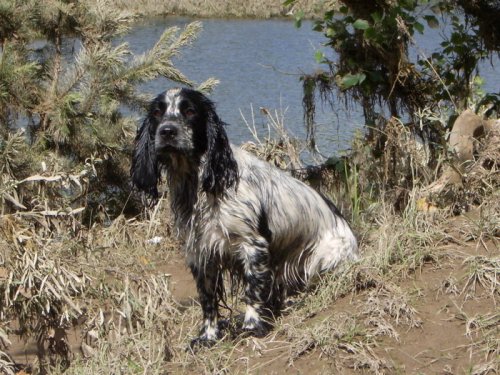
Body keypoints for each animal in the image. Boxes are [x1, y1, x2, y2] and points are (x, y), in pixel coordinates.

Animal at [131, 88, 358, 346]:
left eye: (189, 111)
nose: (167, 131)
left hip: (321, 260)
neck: (200, 182)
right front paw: (208, 336)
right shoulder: (201, 251)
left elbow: (252, 290)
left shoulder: (253, 245)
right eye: (157, 113)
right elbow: (207, 299)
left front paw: (252, 326)